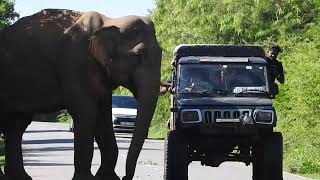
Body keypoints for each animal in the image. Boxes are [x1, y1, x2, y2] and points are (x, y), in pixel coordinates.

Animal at [0, 9, 162, 180]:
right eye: (137, 56)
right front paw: (87, 178)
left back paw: (18, 177)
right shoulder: (75, 63)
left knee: (17, 126)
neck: (110, 22)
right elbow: (86, 112)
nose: (125, 177)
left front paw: (108, 178)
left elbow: (103, 117)